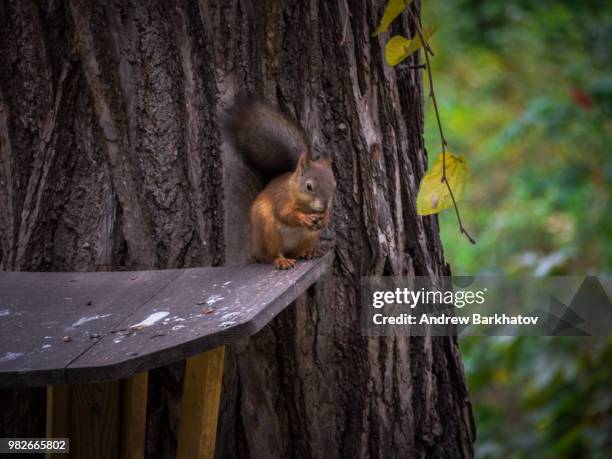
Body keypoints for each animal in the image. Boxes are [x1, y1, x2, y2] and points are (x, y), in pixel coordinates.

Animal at [225, 98, 334, 270]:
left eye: (334, 186)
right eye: (309, 186)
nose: (324, 206)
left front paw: (326, 217)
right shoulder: (280, 198)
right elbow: (285, 213)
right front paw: (304, 218)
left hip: (310, 237)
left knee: (298, 251)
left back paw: (310, 252)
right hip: (268, 233)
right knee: (271, 255)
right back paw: (281, 260)